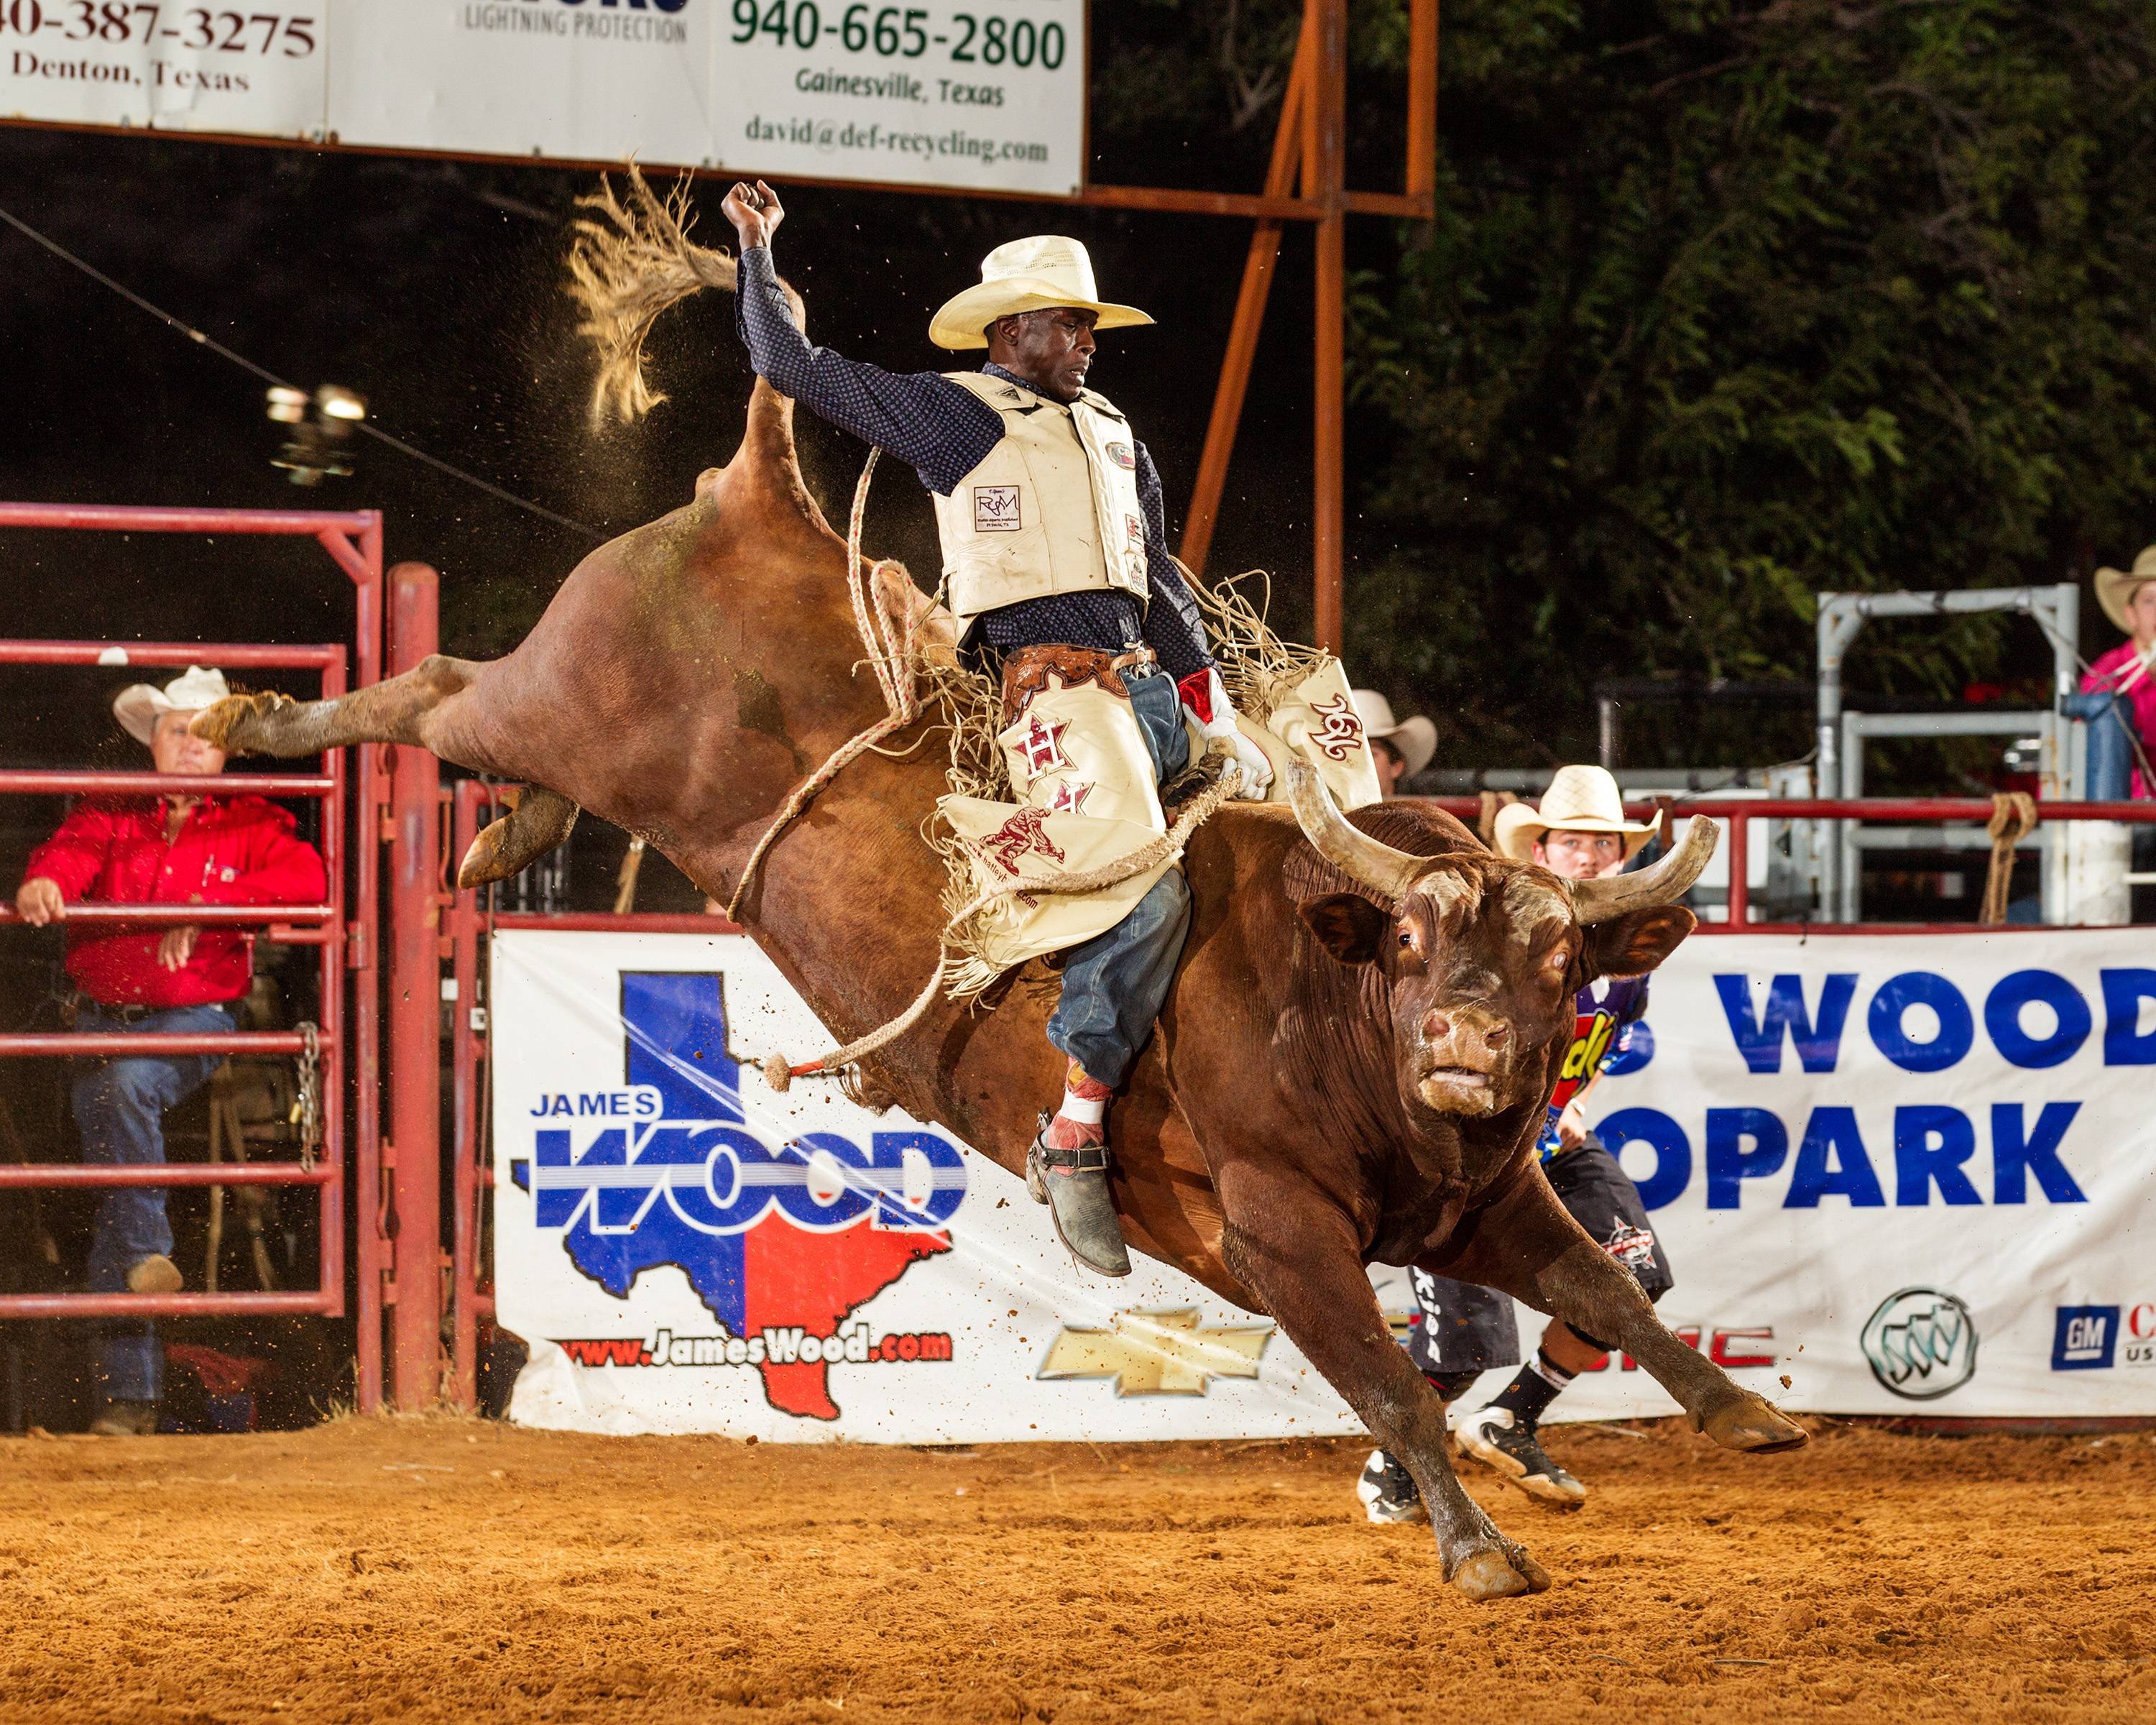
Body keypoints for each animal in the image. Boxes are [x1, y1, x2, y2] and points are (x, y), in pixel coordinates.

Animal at [194, 323, 1802, 1587]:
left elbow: (1606, 1290)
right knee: (435, 688)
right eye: (1406, 940)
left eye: (1559, 969)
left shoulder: (1486, 1201)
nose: (1465, 1051)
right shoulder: (1283, 1235)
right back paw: (223, 715)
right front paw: (1475, 1549)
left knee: (484, 731)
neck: (1332, 1003)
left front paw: (1746, 1417)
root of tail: (766, 491)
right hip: (565, 697)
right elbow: (1397, 1389)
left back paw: (485, 841)